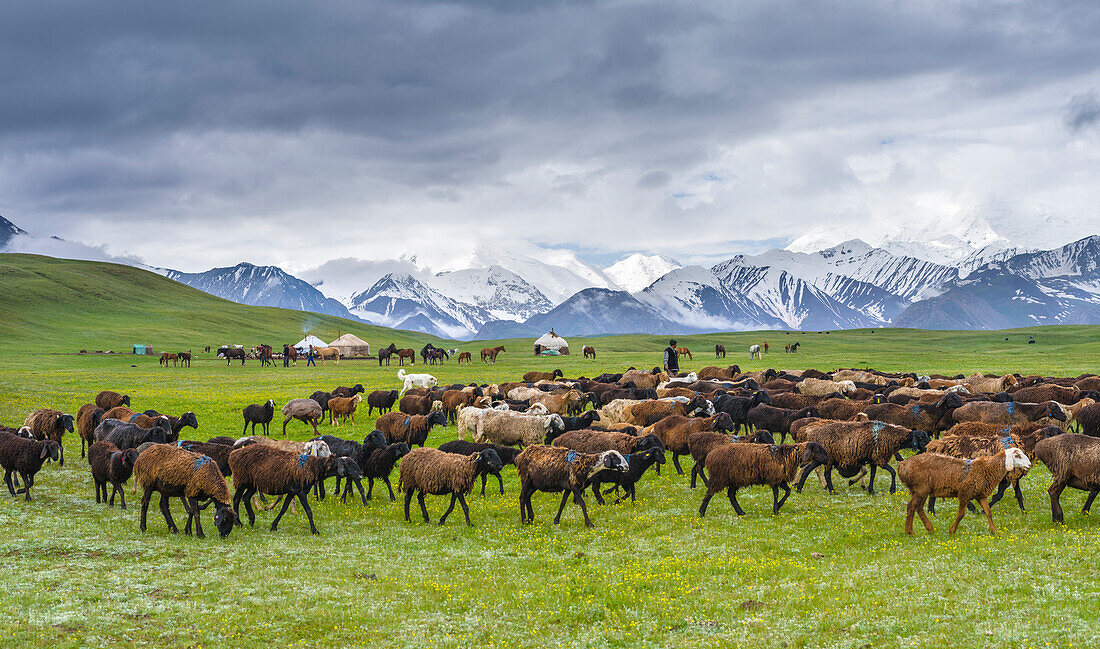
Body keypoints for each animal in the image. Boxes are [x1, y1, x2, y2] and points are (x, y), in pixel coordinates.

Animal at [699, 442, 827, 519]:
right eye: (818, 449)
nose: (827, 459)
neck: (787, 455)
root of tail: (710, 455)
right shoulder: (774, 478)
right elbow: (776, 494)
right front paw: (776, 509)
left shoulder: (780, 479)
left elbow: (788, 491)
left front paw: (778, 506)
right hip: (719, 477)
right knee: (709, 493)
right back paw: (701, 512)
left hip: (734, 479)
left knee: (731, 495)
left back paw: (741, 512)